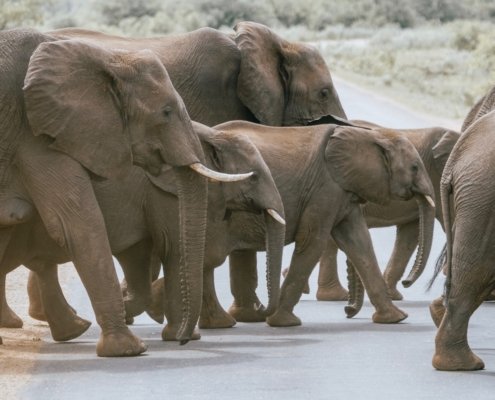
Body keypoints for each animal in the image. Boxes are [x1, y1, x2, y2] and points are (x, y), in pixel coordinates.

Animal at [0, 28, 238, 356]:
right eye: (166, 112)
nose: (184, 340)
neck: (108, 58)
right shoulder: (35, 136)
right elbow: (77, 224)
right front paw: (128, 350)